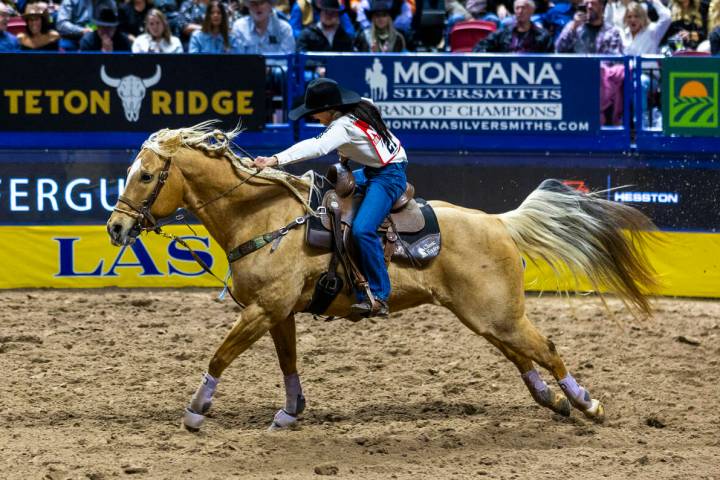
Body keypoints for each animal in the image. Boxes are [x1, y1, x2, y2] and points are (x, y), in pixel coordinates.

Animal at [105, 124, 660, 432]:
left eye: (147, 175)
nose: (116, 227)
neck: (263, 217)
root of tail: (499, 222)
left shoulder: (263, 310)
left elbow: (219, 356)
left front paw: (196, 411)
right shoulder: (277, 313)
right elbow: (288, 363)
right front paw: (290, 412)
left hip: (498, 313)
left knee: (544, 347)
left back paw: (587, 404)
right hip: (484, 315)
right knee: (520, 353)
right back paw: (553, 400)